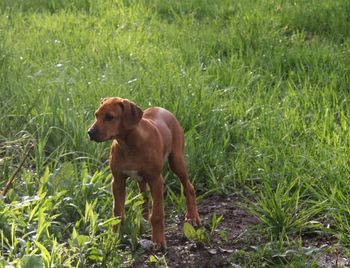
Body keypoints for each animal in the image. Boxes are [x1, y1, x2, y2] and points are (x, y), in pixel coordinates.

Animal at [88, 98, 200, 249]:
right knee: (144, 197)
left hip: (177, 161)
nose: (90, 133)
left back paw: (193, 217)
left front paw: (158, 240)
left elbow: (157, 215)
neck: (128, 144)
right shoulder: (117, 181)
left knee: (189, 187)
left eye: (110, 117)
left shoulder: (156, 180)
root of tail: (162, 109)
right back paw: (145, 219)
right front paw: (114, 236)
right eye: (96, 115)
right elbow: (117, 212)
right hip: (141, 179)